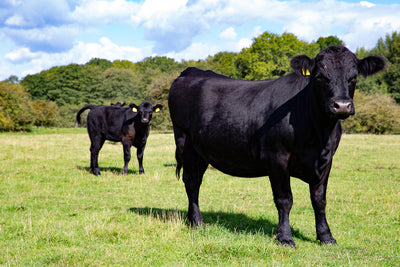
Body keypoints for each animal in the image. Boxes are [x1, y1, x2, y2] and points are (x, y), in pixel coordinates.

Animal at [168, 45, 384, 247]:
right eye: (320, 76)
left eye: (353, 77)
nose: (342, 106)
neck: (319, 134)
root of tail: (192, 71)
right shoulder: (277, 158)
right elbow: (284, 200)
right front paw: (285, 237)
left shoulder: (327, 160)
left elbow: (319, 200)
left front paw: (325, 236)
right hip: (185, 143)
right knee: (191, 182)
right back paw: (197, 222)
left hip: (201, 151)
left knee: (196, 181)